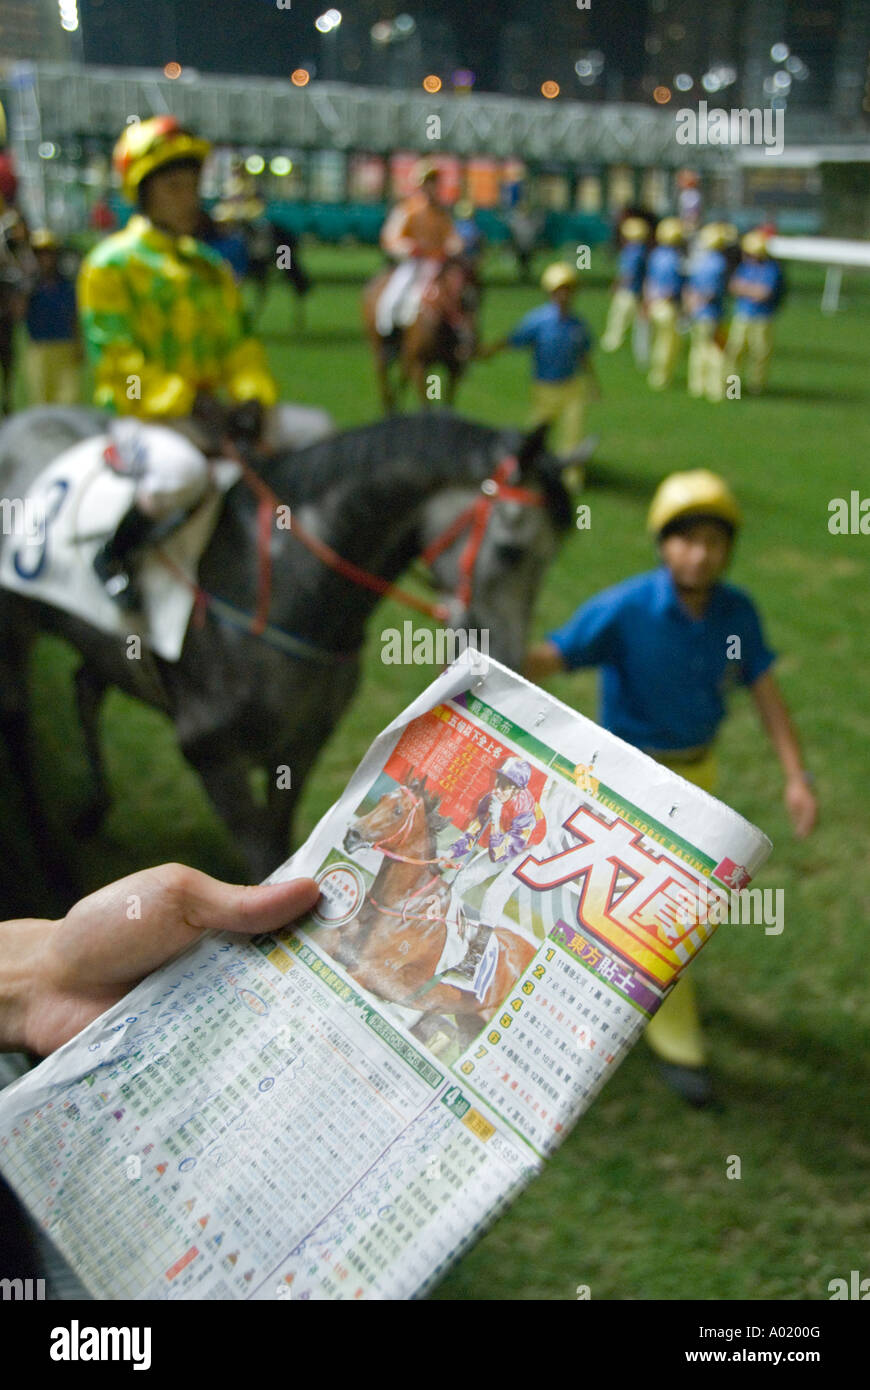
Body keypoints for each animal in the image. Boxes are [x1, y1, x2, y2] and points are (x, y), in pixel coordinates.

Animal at [318, 783, 536, 1034]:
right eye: (382, 798)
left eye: (398, 811)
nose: (352, 836)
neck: (404, 904)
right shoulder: (337, 942)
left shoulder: (368, 971)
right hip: (468, 1023)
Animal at [361, 257, 480, 411]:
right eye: (459, 298)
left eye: (480, 297)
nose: (471, 340)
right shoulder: (419, 366)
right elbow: (426, 405)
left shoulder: (453, 368)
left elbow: (448, 403)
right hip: (380, 348)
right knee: (383, 377)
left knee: (401, 377)